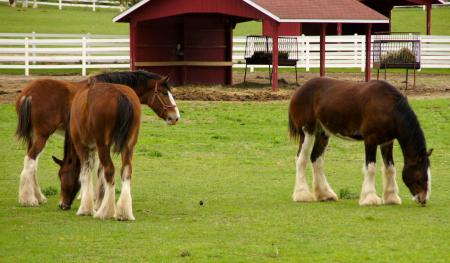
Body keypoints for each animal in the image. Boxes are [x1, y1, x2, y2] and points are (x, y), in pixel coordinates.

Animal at [15, 70, 178, 208]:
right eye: (164, 93)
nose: (175, 117)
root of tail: (28, 93)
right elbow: (99, 168)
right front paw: (96, 199)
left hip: (34, 137)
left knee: (32, 163)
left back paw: (38, 196)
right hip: (42, 136)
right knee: (30, 160)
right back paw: (28, 199)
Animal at [288, 77, 432, 207]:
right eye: (421, 175)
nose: (424, 199)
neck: (387, 107)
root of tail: (299, 90)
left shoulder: (387, 142)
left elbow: (390, 168)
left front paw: (391, 198)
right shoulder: (370, 140)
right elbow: (371, 168)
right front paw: (370, 198)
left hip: (322, 133)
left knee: (316, 159)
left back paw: (325, 194)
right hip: (307, 131)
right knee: (301, 159)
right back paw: (302, 195)